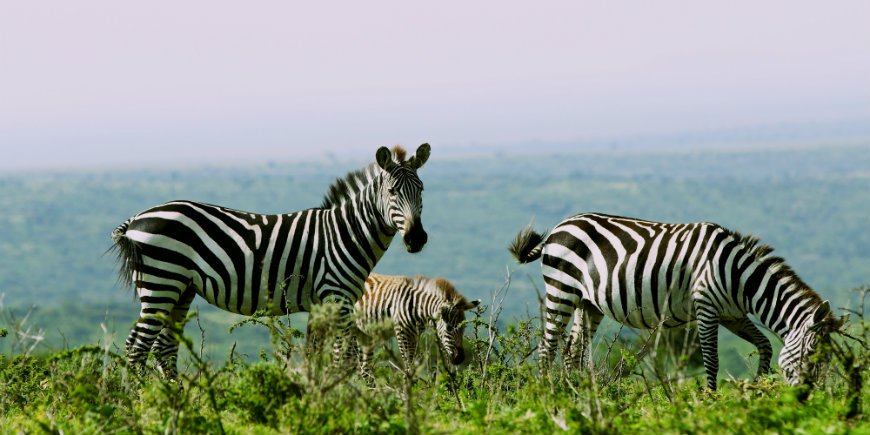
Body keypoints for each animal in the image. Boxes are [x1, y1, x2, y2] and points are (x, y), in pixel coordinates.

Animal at [111, 144, 431, 378]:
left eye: (422, 190)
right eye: (392, 192)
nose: (417, 239)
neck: (346, 232)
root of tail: (136, 218)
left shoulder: (321, 303)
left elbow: (318, 355)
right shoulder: (337, 298)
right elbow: (347, 357)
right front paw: (350, 402)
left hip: (181, 289)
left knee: (163, 347)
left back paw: (175, 402)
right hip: (161, 283)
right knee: (137, 347)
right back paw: (140, 406)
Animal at [509, 212, 844, 390]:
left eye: (827, 357)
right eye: (811, 352)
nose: (805, 398)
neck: (741, 278)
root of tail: (559, 226)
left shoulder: (733, 315)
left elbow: (764, 345)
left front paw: (757, 388)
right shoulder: (707, 308)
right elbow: (712, 360)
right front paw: (710, 401)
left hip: (586, 303)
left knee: (571, 351)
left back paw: (579, 393)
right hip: (561, 290)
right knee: (547, 348)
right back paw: (549, 395)